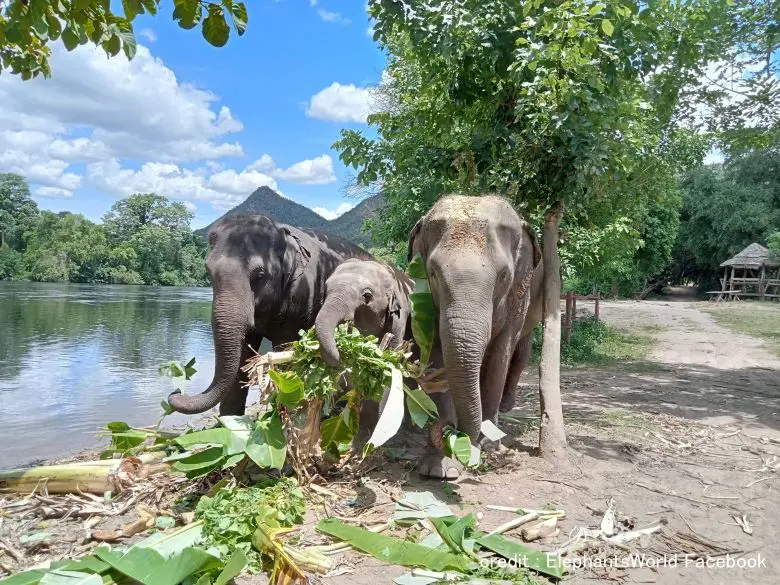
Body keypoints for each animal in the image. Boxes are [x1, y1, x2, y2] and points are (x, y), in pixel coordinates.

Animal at [167, 214, 372, 416]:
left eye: (260, 275)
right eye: (208, 272)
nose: (176, 391)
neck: (283, 231)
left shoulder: (301, 295)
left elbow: (284, 351)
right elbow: (242, 354)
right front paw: (229, 422)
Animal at [408, 194, 544, 476]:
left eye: (504, 275)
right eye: (433, 272)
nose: (449, 430)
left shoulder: (519, 291)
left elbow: (500, 356)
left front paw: (489, 446)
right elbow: (439, 353)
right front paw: (437, 468)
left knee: (521, 352)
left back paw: (506, 408)